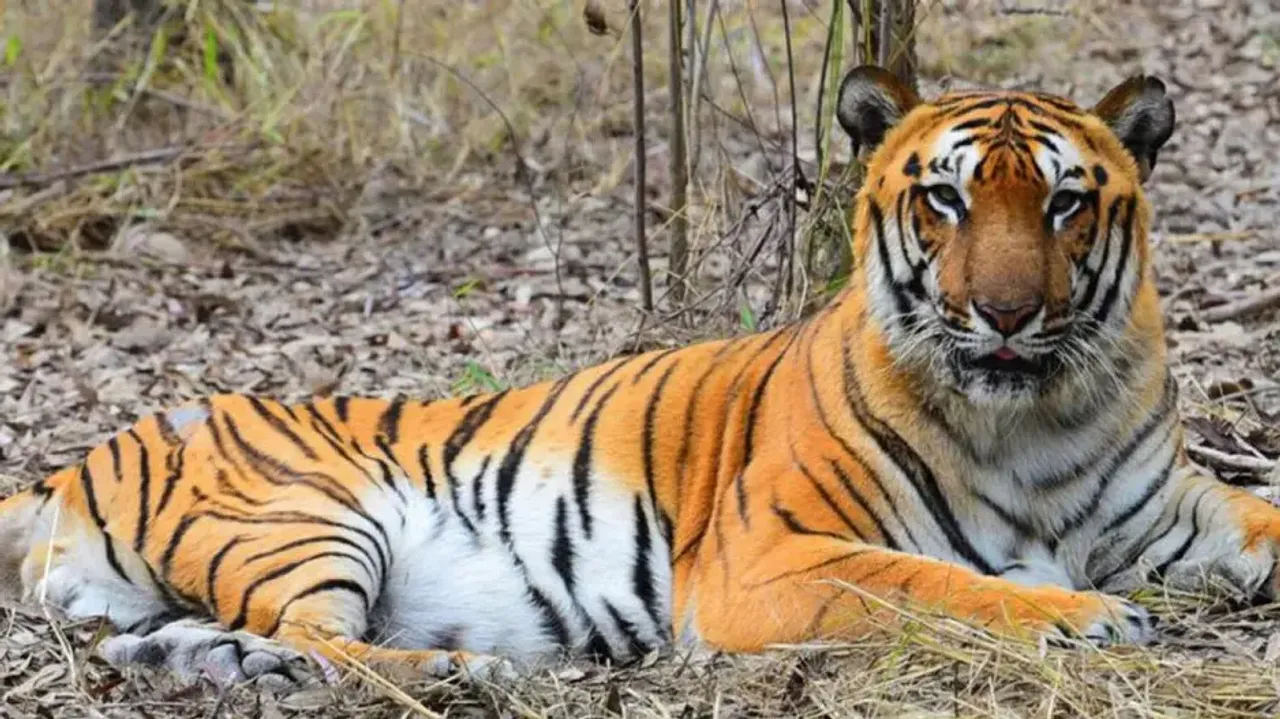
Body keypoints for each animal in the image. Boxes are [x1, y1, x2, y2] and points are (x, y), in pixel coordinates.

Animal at [2, 63, 1278, 688]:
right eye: (944, 200)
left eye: (1062, 202)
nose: (1005, 312)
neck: (1038, 416)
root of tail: (78, 459)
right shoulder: (765, 558)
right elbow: (938, 582)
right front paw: (1085, 615)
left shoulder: (1173, 511)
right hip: (304, 515)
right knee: (329, 637)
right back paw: (463, 668)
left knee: (183, 642)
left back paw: (221, 664)